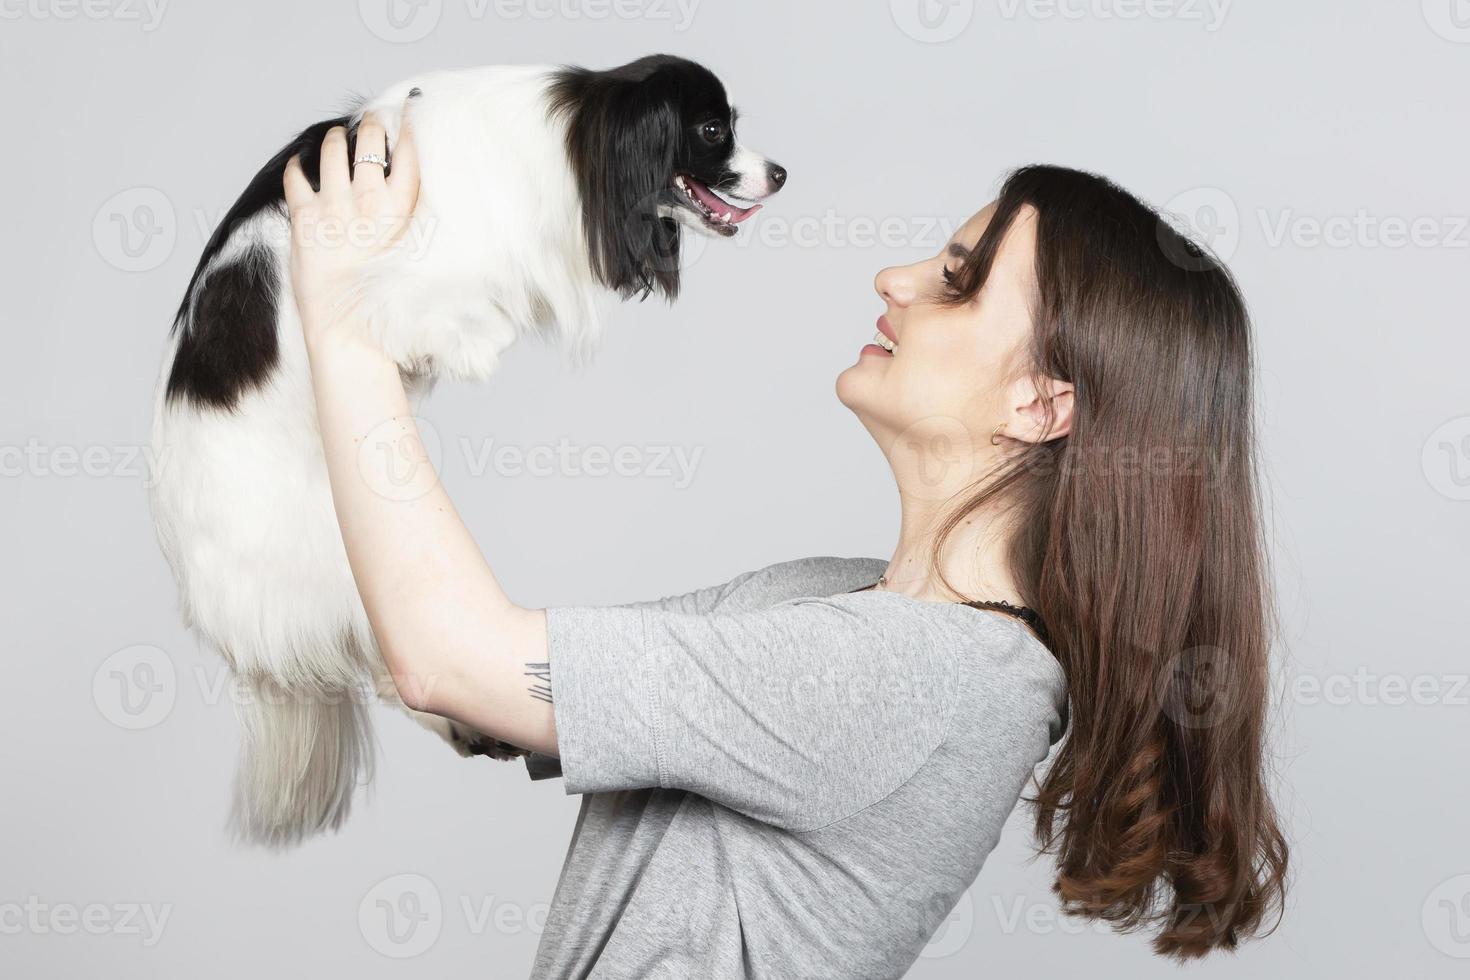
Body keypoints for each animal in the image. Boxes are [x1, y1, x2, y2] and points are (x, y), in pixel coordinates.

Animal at [149, 55, 787, 852]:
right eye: (711, 131)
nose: (781, 173)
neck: (567, 140)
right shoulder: (397, 289)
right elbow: (450, 314)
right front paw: (476, 342)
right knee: (383, 669)